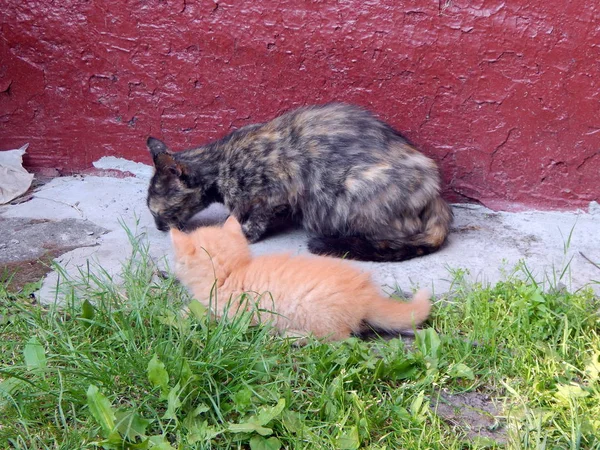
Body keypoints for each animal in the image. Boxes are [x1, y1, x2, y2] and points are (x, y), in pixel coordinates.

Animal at [148, 103, 452, 262]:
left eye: (156, 211)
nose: (159, 227)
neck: (220, 162)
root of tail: (437, 193)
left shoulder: (276, 190)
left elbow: (251, 217)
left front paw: (240, 231)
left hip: (346, 192)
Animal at [169, 217, 432, 342]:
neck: (231, 272)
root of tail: (366, 295)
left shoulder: (232, 316)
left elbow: (200, 314)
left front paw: (175, 316)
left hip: (314, 314)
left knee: (339, 337)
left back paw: (293, 338)